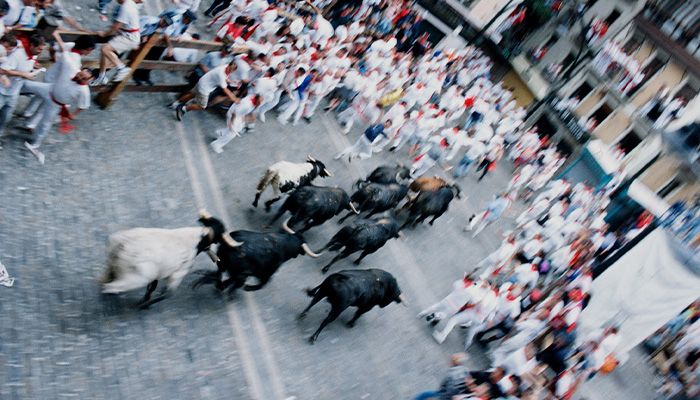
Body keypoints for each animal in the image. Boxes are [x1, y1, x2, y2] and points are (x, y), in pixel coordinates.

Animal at [193, 230, 322, 292]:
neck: (284, 244)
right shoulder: (267, 272)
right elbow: (263, 283)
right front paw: (248, 288)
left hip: (223, 263)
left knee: (219, 274)